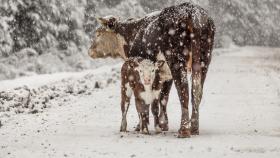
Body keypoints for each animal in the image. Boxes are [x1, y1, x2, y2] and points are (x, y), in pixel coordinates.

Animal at [88, 2, 215, 138]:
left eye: (98, 33)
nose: (90, 51)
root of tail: (191, 10)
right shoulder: (165, 75)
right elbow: (163, 98)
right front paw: (163, 124)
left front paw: (141, 126)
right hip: (204, 60)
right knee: (197, 91)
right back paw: (194, 128)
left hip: (176, 60)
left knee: (184, 90)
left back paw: (184, 130)